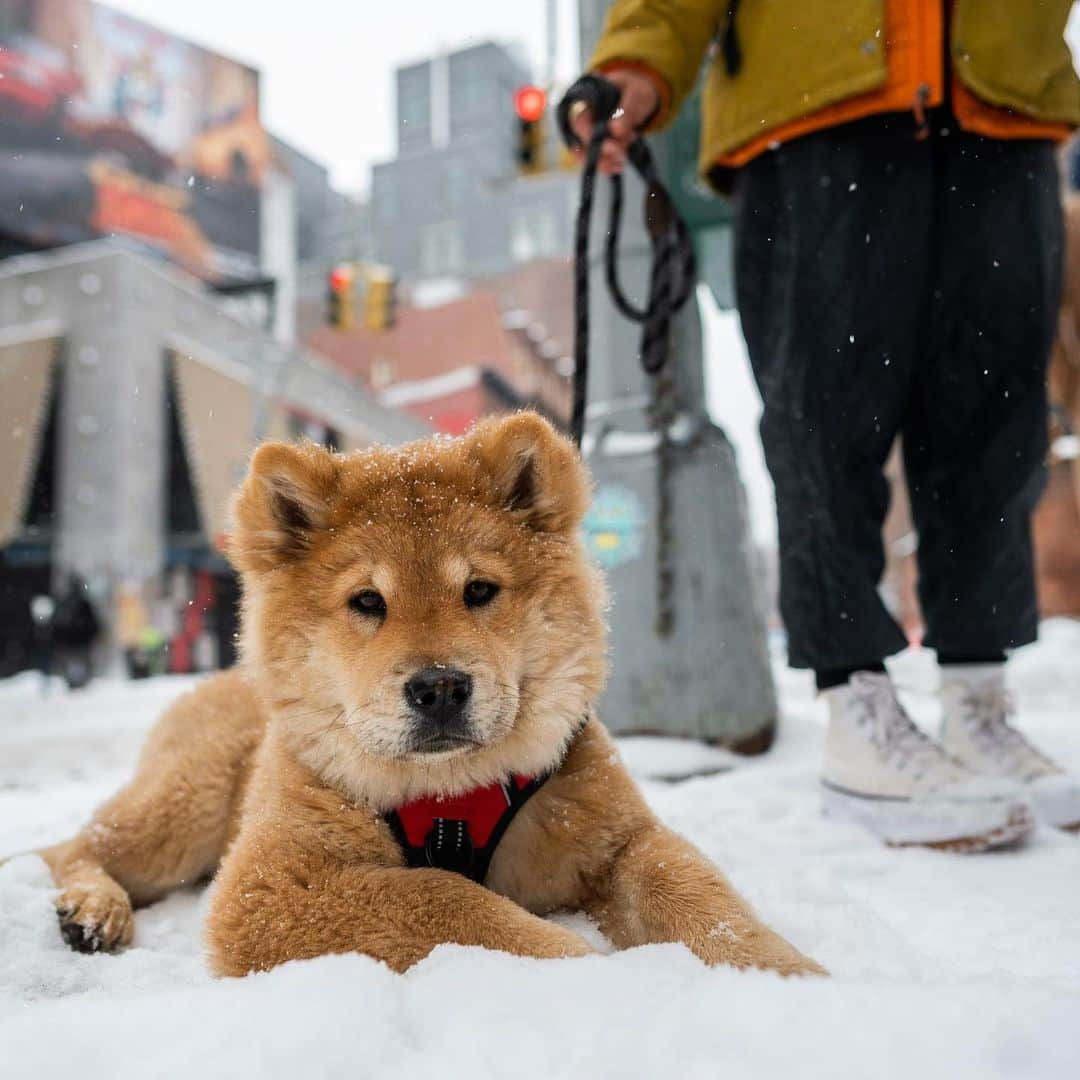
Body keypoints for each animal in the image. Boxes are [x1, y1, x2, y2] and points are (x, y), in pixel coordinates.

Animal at [38, 412, 820, 980]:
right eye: (366, 601)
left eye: (479, 590)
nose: (439, 686)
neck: (451, 796)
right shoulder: (267, 888)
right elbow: (443, 900)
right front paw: (591, 970)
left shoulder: (617, 836)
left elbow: (692, 891)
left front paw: (782, 976)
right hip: (190, 804)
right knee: (72, 844)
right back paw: (91, 908)